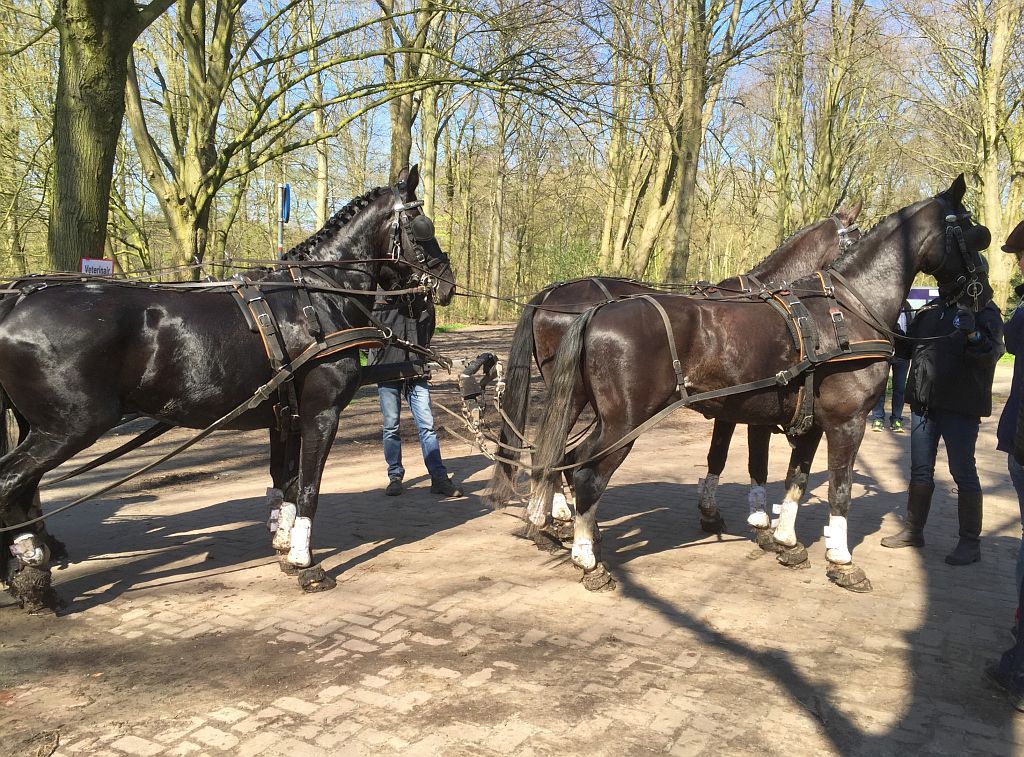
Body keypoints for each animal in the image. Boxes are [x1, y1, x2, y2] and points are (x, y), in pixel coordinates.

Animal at [0, 166, 456, 614]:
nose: (448, 283)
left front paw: (284, 546)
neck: (316, 298)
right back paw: (30, 566)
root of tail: (17, 301)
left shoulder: (284, 418)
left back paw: (32, 575)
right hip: (71, 427)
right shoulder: (321, 413)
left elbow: (286, 482)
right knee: (10, 483)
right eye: (422, 227)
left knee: (22, 491)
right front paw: (305, 564)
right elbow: (309, 487)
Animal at [487, 201, 864, 536]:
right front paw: (743, 518)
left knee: (549, 450)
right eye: (856, 237)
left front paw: (715, 512)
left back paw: (549, 514)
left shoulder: (735, 404)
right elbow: (742, 458)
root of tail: (551, 295)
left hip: (573, 395)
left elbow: (719, 456)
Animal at [528, 176, 991, 594]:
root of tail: (595, 311)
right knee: (586, 474)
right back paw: (587, 559)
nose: (981, 290)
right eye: (973, 233)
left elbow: (793, 478)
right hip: (623, 422)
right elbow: (835, 489)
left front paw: (785, 540)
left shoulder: (804, 421)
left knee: (559, 458)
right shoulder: (847, 422)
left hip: (587, 409)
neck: (845, 311)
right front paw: (840, 560)